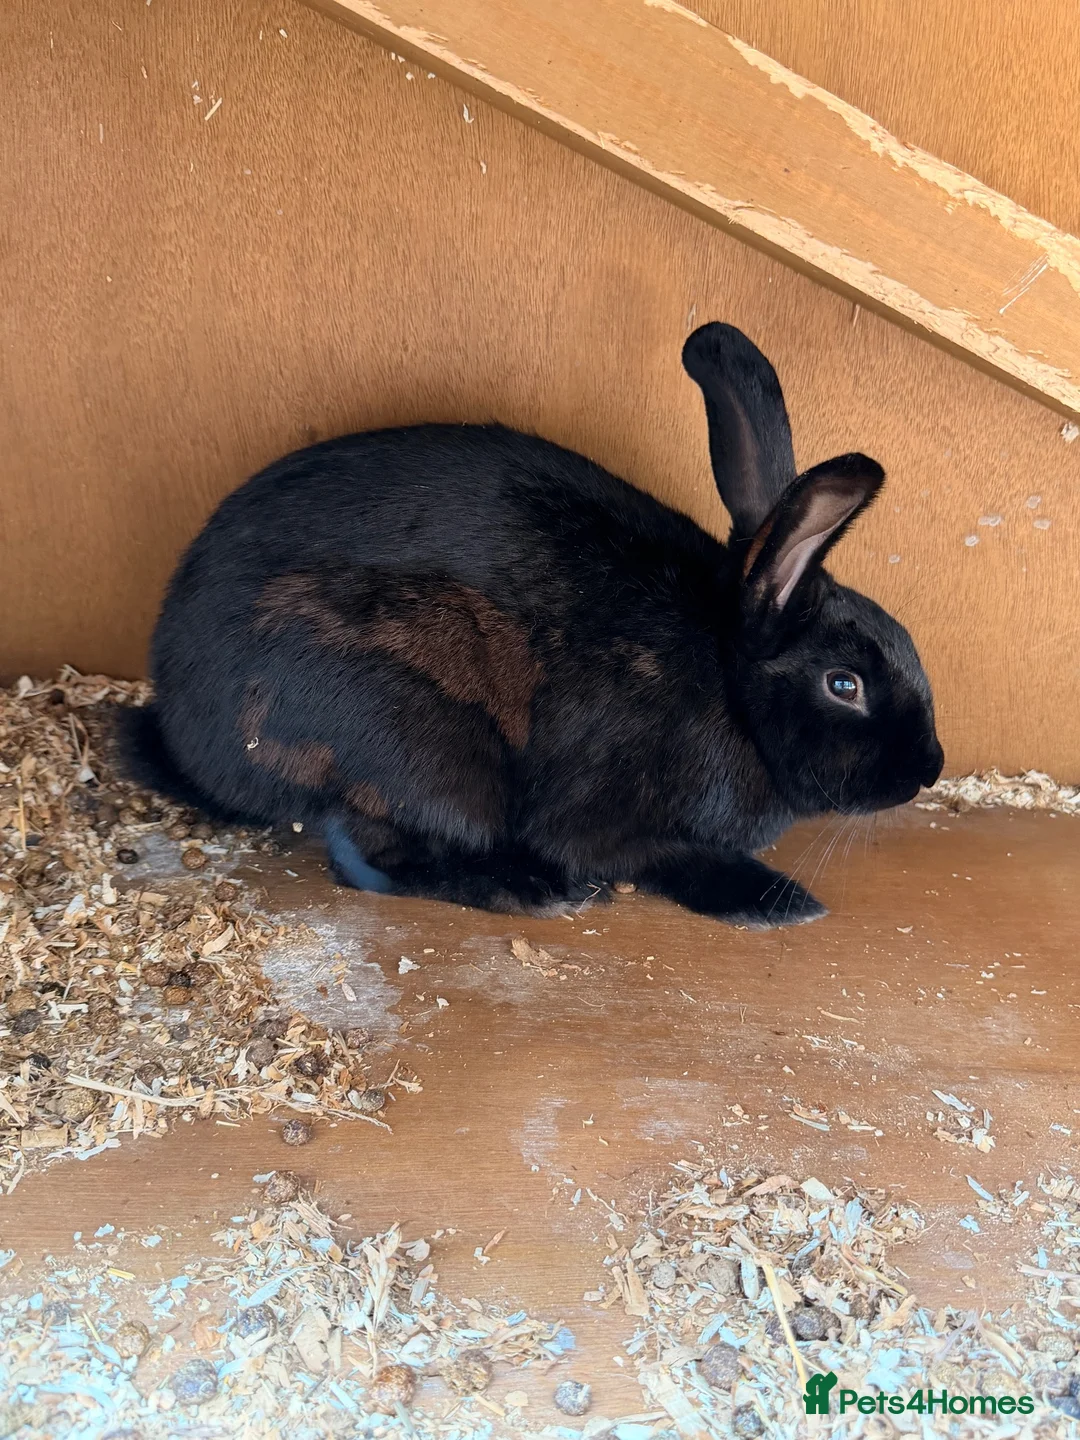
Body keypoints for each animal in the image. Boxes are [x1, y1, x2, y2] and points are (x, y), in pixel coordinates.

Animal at [117, 322, 943, 926]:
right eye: (844, 684)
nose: (927, 770)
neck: (729, 685)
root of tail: (190, 742)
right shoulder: (611, 820)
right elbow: (657, 857)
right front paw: (778, 901)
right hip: (415, 746)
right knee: (370, 857)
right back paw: (532, 890)